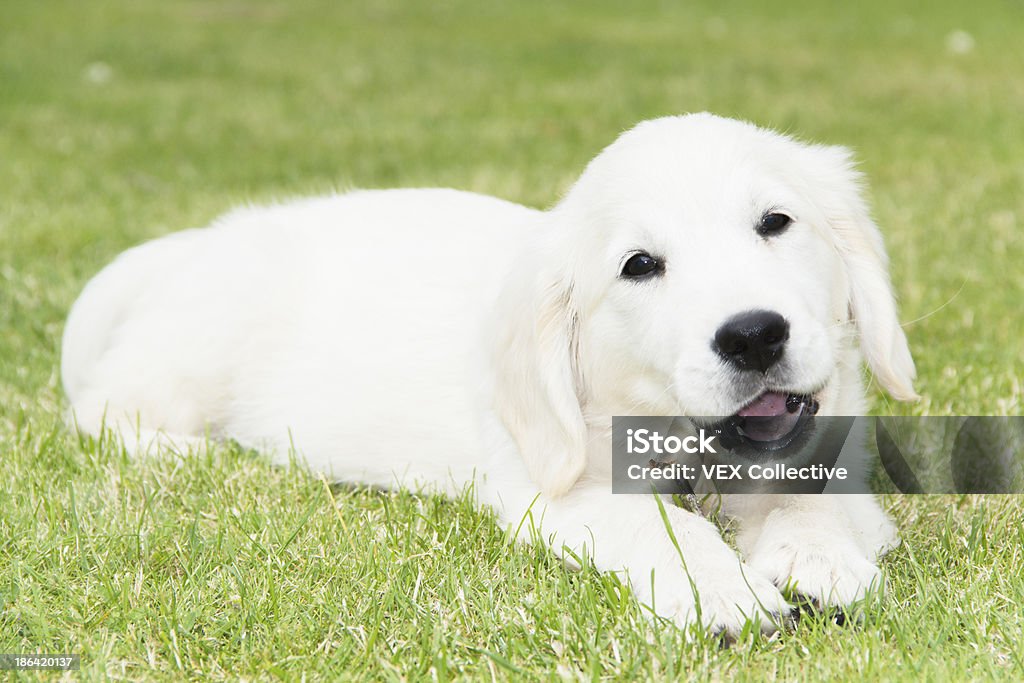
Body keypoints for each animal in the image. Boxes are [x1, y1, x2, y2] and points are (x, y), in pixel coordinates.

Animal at [59, 113, 917, 634]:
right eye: (640, 265)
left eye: (776, 222)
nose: (753, 335)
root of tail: (195, 241)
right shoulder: (556, 486)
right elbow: (659, 524)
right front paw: (722, 588)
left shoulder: (834, 454)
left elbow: (812, 497)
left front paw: (814, 558)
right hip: (195, 351)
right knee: (100, 410)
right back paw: (187, 450)